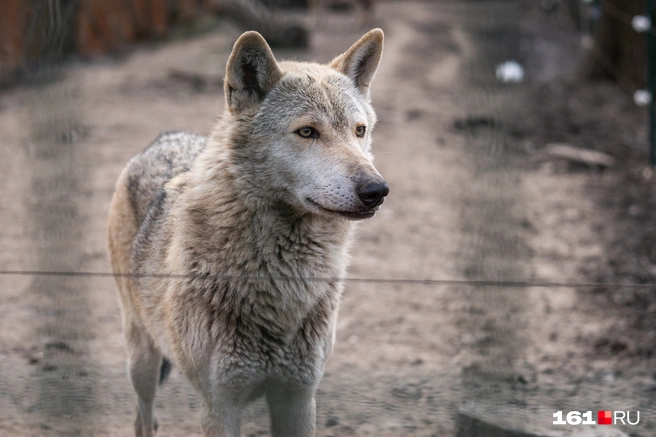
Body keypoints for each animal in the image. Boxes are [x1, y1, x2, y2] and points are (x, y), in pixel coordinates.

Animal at [105, 28, 386, 436]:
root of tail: (163, 137)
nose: (377, 190)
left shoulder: (298, 395)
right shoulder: (219, 403)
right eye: (307, 132)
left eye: (359, 131)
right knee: (143, 417)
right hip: (141, 358)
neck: (280, 283)